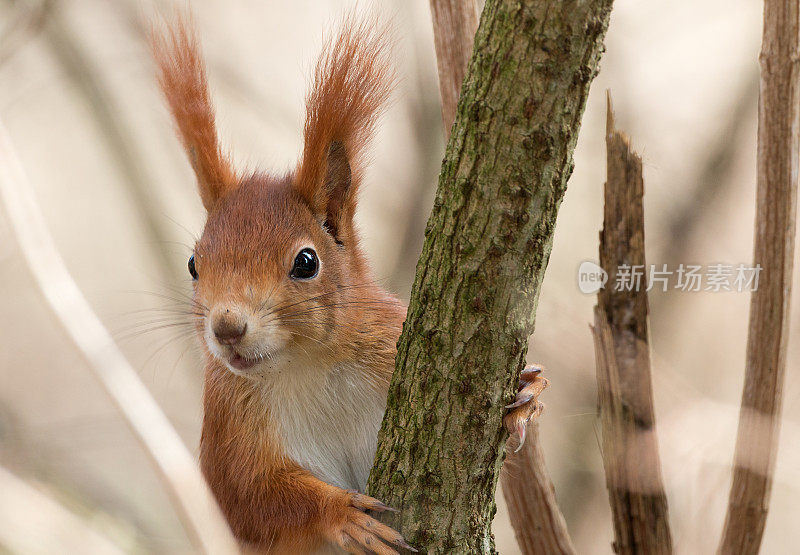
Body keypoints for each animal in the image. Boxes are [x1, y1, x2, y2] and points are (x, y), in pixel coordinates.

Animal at [152, 13, 544, 555]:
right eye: (193, 264)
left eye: (306, 262)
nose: (227, 328)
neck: (308, 365)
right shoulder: (229, 429)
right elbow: (248, 501)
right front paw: (340, 513)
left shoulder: (393, 335)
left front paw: (525, 398)